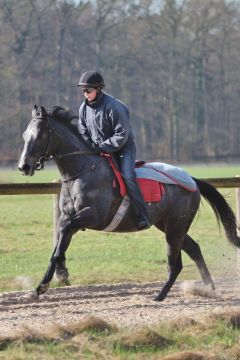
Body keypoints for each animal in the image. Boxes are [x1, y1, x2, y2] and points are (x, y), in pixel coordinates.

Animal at [18, 104, 240, 300]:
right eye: (25, 135)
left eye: (40, 135)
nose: (23, 166)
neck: (82, 172)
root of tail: (192, 180)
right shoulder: (67, 218)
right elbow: (57, 247)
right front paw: (37, 290)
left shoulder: (91, 216)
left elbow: (60, 246)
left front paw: (52, 276)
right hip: (170, 226)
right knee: (193, 249)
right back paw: (209, 288)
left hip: (175, 227)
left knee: (176, 264)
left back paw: (160, 296)